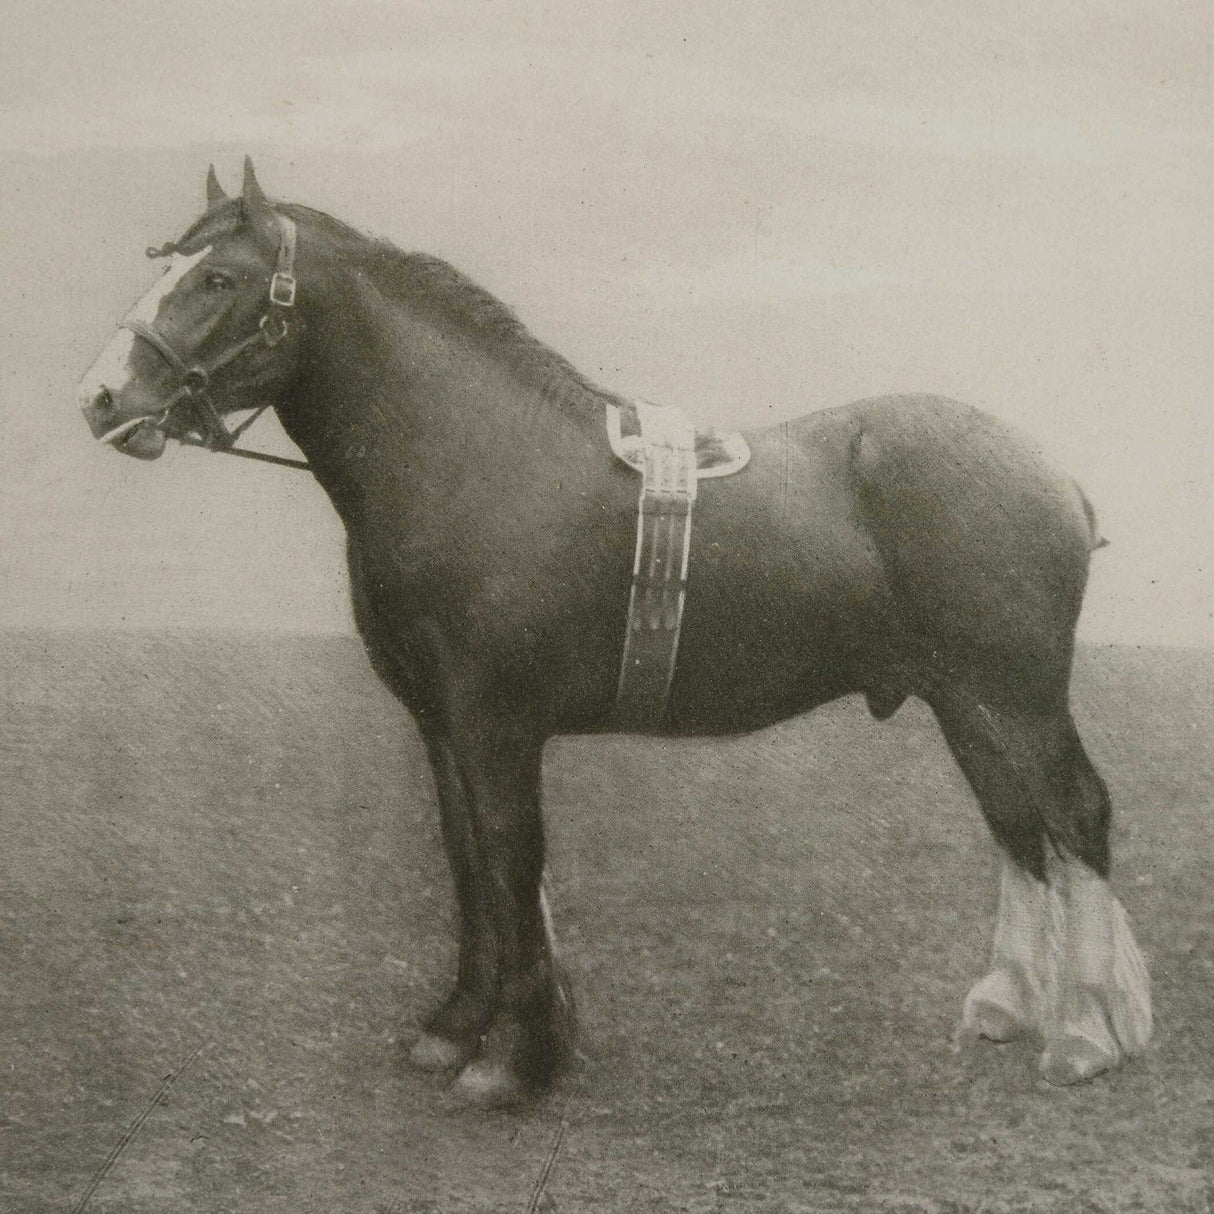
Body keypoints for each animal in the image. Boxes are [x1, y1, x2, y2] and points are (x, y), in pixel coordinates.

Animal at [78, 158, 1152, 1108]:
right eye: (169, 261)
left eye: (218, 279)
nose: (102, 397)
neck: (474, 456)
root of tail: (1053, 474)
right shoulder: (442, 728)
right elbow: (467, 864)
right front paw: (455, 1029)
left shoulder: (498, 728)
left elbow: (512, 862)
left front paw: (513, 1062)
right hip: (961, 701)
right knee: (1015, 825)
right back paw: (1010, 1005)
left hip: (1017, 696)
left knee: (1076, 814)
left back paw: (1085, 1035)